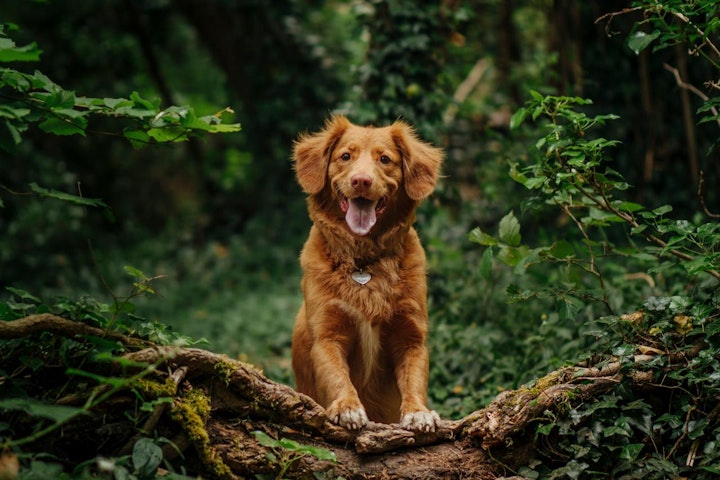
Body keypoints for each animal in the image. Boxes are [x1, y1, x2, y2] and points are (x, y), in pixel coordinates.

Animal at [290, 115, 442, 432]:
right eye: (345, 156)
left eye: (384, 159)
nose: (361, 181)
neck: (364, 262)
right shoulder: (327, 336)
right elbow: (337, 376)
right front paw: (347, 406)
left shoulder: (411, 337)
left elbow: (414, 380)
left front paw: (418, 412)